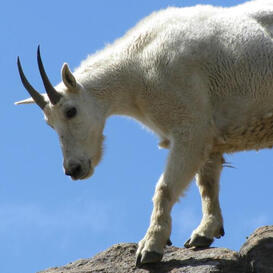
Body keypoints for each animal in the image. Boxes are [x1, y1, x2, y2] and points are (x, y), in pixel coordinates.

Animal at [16, 0, 272, 266]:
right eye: (49, 123)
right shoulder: (205, 133)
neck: (135, 69)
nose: (73, 169)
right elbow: (207, 182)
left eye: (71, 111)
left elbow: (164, 188)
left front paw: (150, 248)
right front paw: (204, 233)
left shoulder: (190, 130)